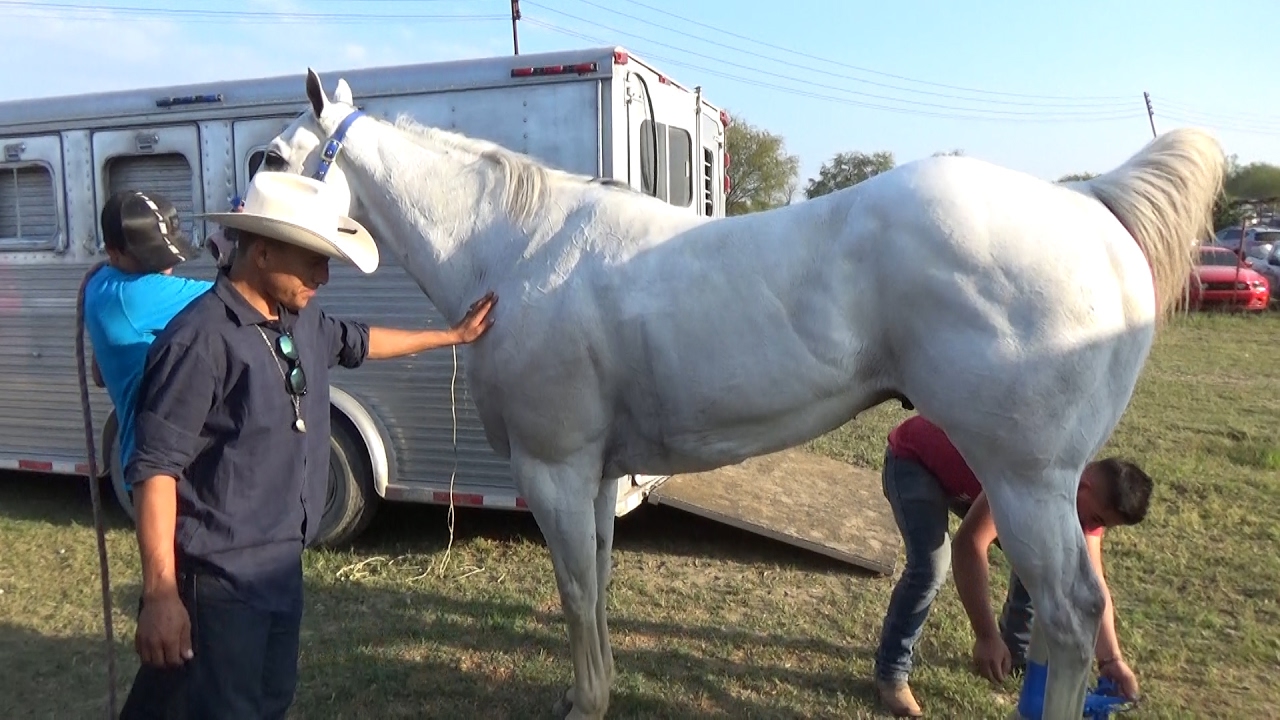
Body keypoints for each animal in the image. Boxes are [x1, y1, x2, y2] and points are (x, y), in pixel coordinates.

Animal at [262, 68, 1224, 720]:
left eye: (272, 154)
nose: (236, 239)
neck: (520, 248)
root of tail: (1094, 208)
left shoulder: (555, 472)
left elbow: (573, 591)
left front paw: (584, 702)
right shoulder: (597, 477)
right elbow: (598, 589)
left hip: (1027, 481)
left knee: (1070, 617)